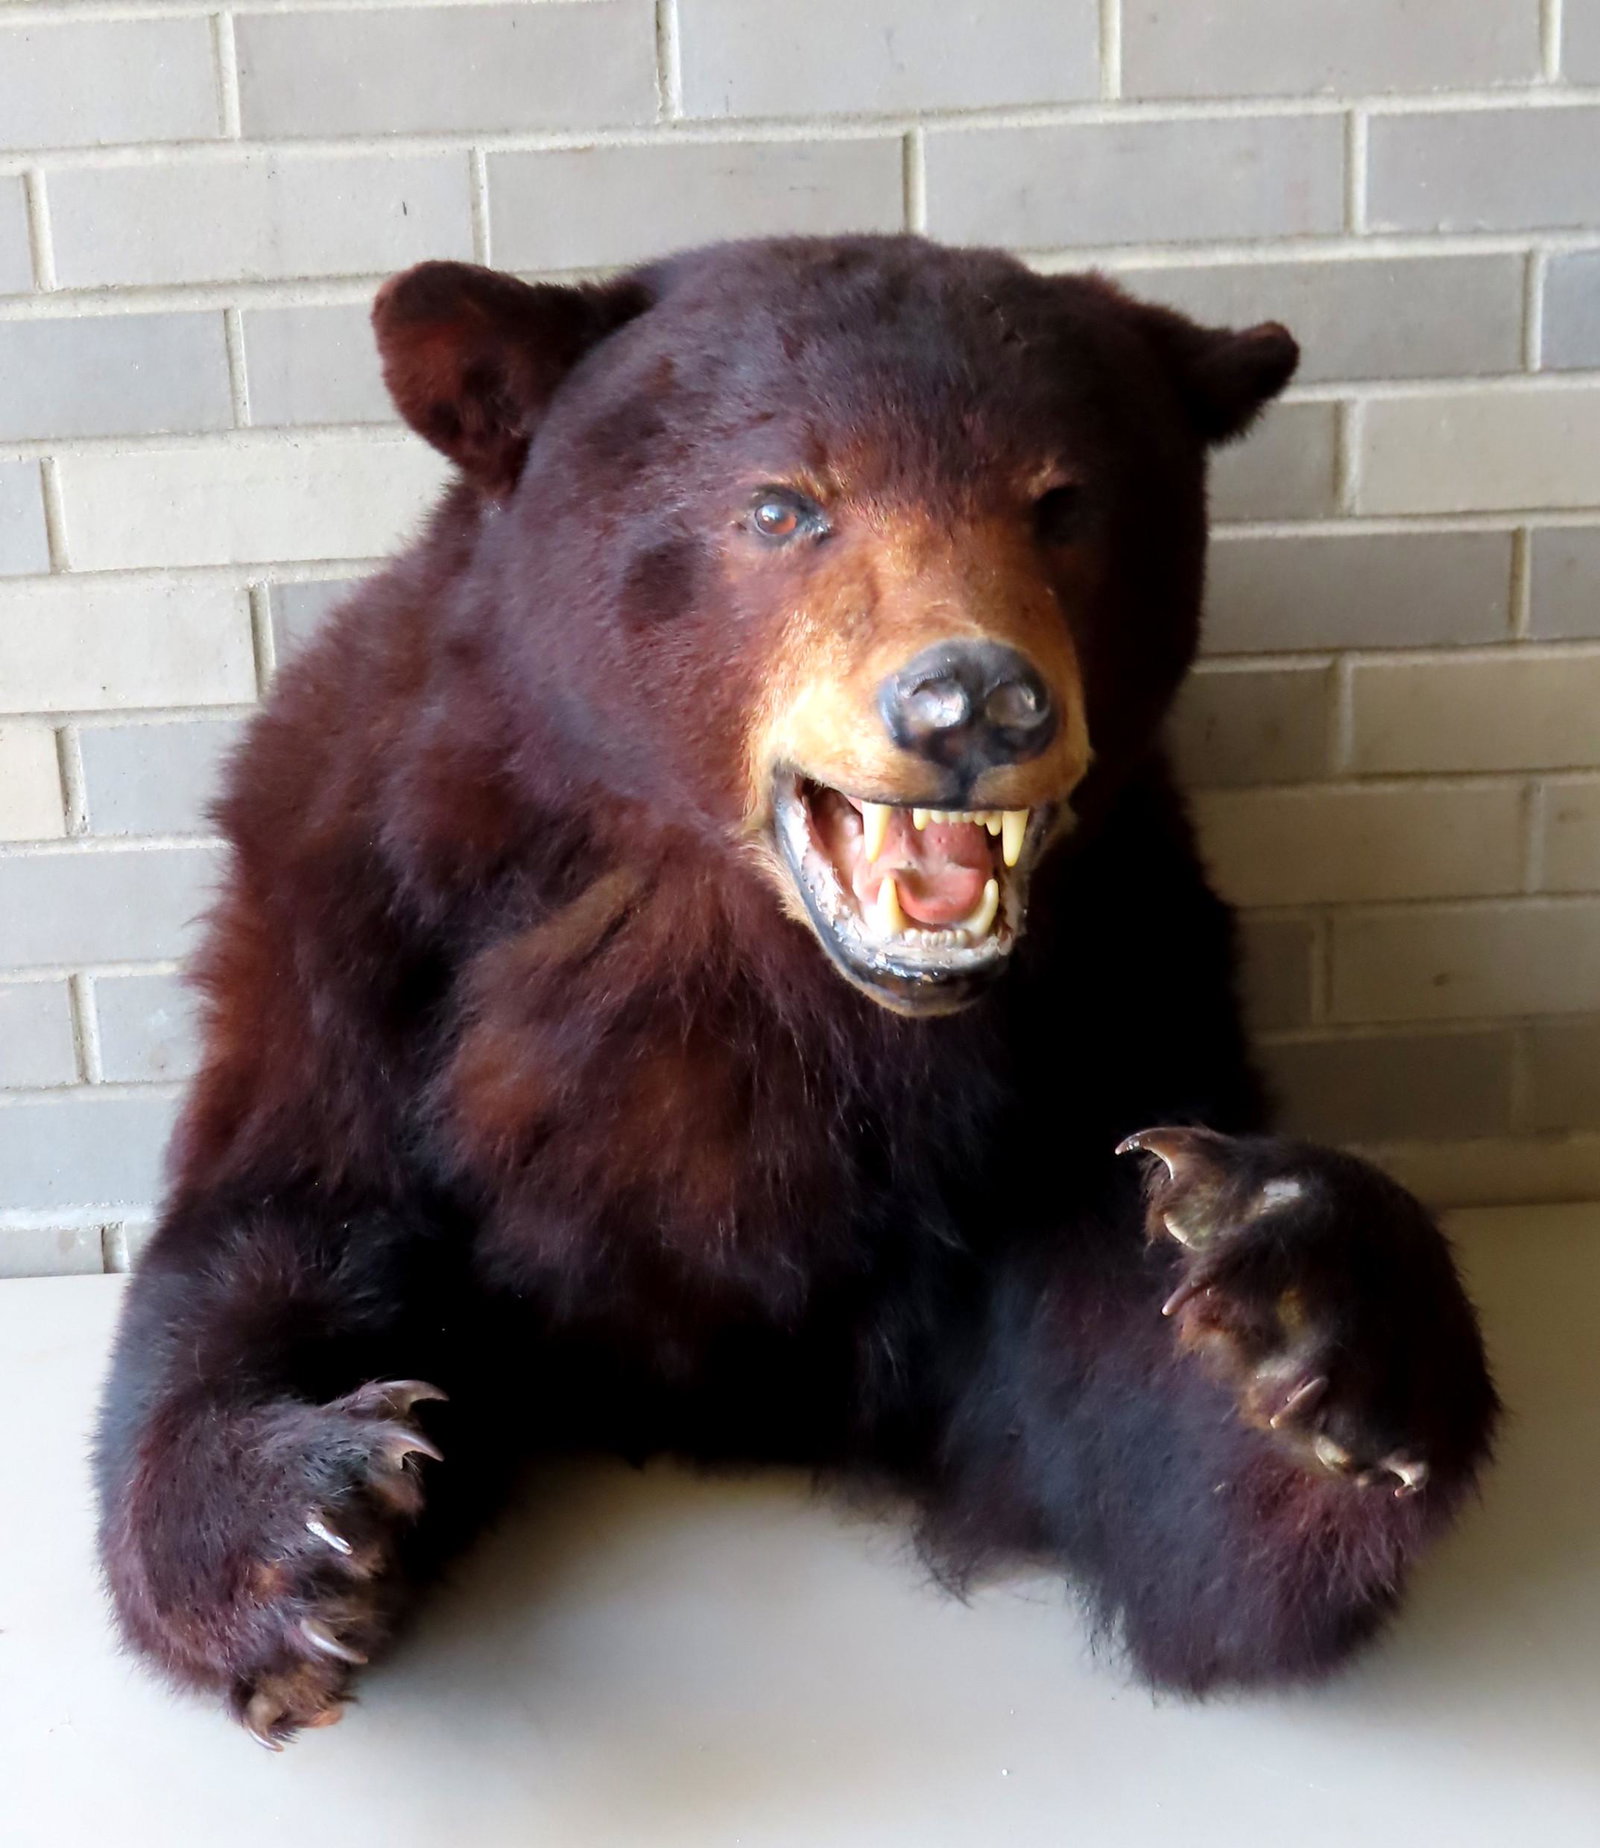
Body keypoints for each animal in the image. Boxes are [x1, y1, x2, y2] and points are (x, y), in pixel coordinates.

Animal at [93, 235, 1498, 1748]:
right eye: (782, 504)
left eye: (1066, 502)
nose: (972, 701)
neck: (750, 976)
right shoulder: (360, 949)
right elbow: (263, 1232)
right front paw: (309, 1516)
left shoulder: (1101, 1013)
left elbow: (1146, 1458)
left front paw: (1307, 1309)